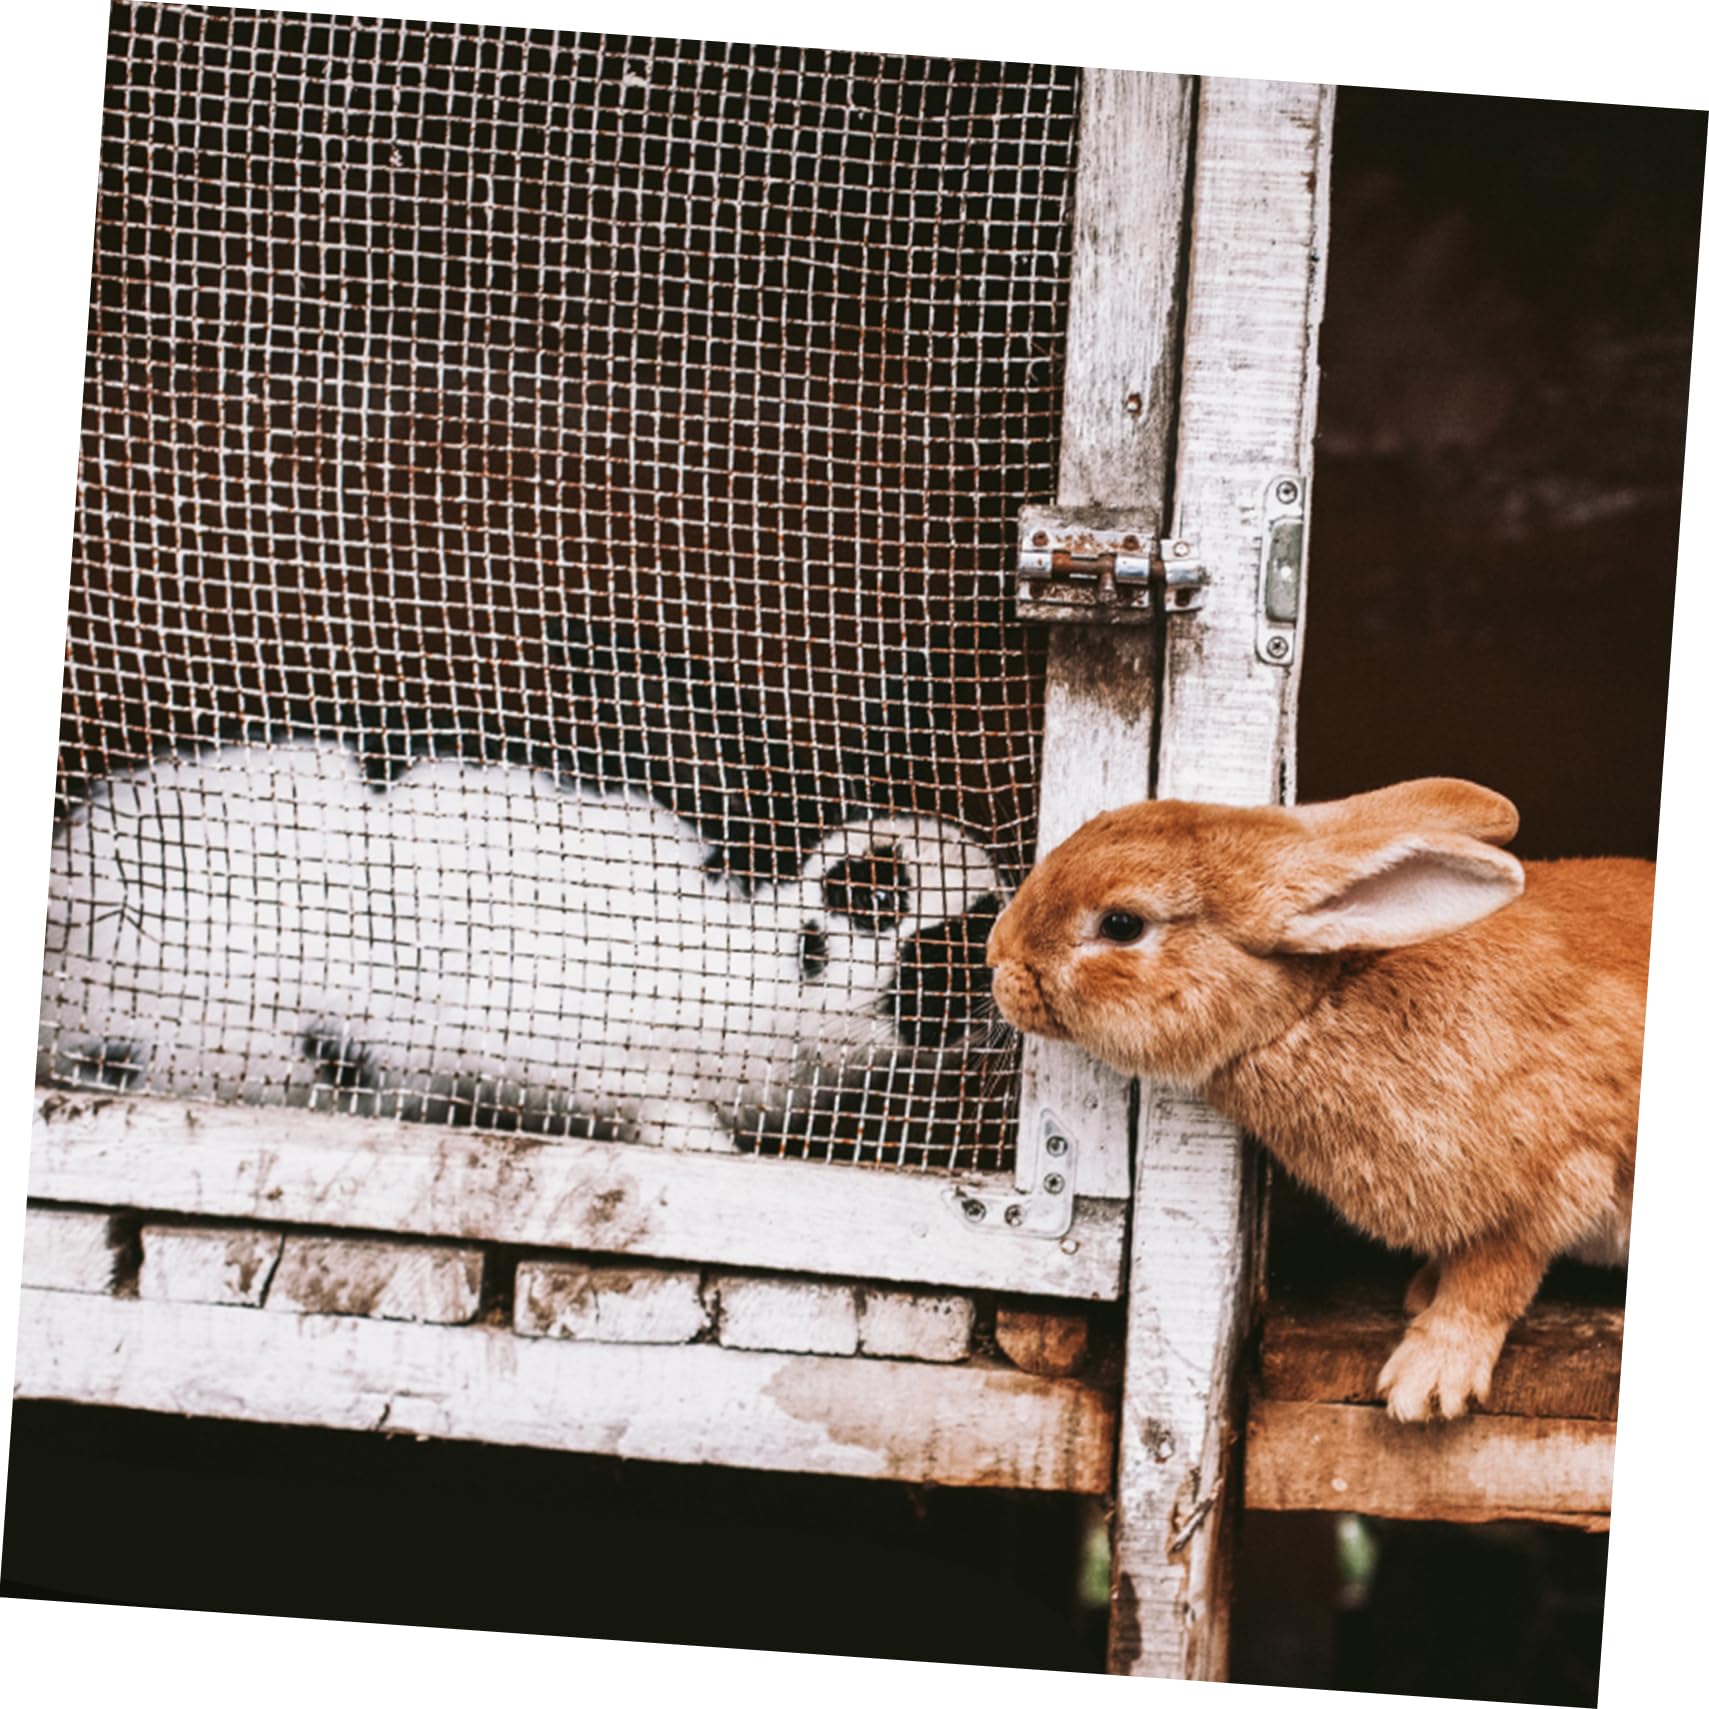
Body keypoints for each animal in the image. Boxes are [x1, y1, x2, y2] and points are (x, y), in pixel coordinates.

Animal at [985, 777, 1652, 1423]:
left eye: (1122, 925)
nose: (996, 956)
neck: (1315, 1002)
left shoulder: (1547, 1189)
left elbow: (1488, 1285)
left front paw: (1427, 1383)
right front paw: (1422, 1291)